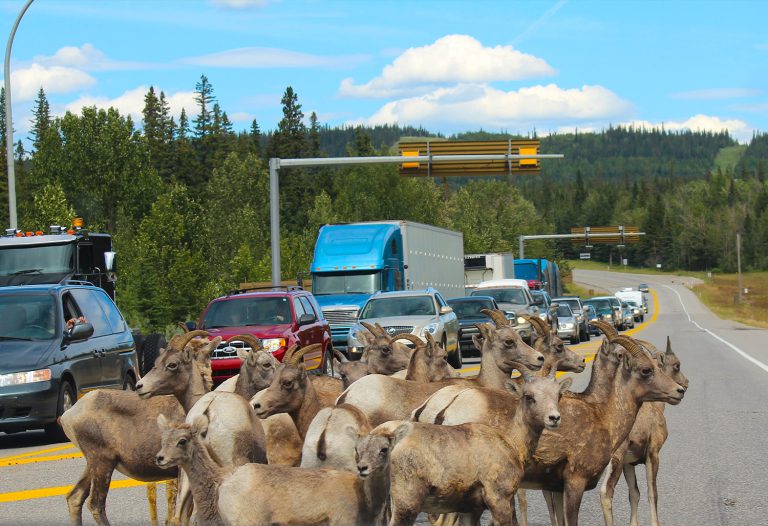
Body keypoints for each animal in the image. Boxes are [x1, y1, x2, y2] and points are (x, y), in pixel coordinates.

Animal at [61, 332, 207, 524]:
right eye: (157, 362)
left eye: (172, 364)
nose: (140, 386)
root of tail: (69, 415)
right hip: (102, 463)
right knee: (95, 504)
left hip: (93, 464)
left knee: (75, 497)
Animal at [384, 376, 568, 526]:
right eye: (529, 396)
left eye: (558, 395)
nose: (554, 418)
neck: (511, 442)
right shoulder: (499, 501)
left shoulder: (470, 510)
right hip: (406, 505)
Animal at [600, 338, 688, 526]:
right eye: (676, 365)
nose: (683, 386)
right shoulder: (652, 454)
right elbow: (652, 493)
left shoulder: (629, 464)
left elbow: (634, 494)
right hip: (614, 461)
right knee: (605, 492)